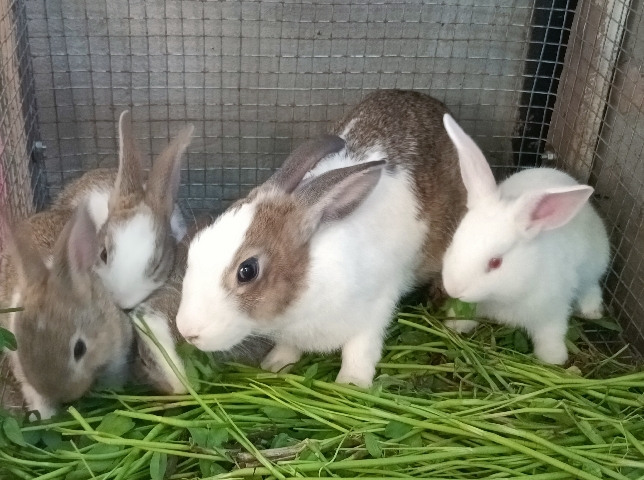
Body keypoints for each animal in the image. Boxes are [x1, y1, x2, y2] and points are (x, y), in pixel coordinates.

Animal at [175, 90, 467, 387]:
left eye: (247, 270)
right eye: (195, 246)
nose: (187, 331)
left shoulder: (375, 311)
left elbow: (359, 350)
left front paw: (351, 383)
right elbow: (288, 348)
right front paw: (275, 365)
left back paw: (457, 324)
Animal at [440, 114, 611, 365]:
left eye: (495, 263)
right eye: (454, 242)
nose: (453, 289)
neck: (503, 296)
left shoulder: (552, 311)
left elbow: (551, 334)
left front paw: (553, 359)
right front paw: (455, 325)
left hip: (594, 264)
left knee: (591, 286)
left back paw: (591, 311)